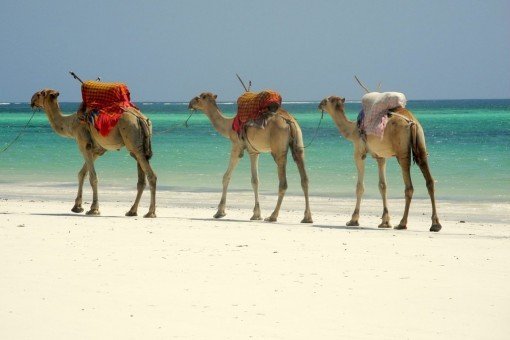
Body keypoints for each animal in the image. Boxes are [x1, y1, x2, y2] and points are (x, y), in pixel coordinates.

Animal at [30, 84, 156, 218]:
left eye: (40, 93)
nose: (32, 100)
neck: (72, 123)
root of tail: (141, 118)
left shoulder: (84, 145)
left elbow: (92, 177)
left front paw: (93, 209)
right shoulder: (96, 151)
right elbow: (82, 174)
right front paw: (77, 207)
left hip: (132, 135)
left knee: (151, 175)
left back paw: (150, 212)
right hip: (139, 145)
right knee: (141, 179)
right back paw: (132, 211)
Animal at [189, 91, 312, 223]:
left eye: (199, 98)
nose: (190, 103)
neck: (229, 126)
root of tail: (289, 121)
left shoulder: (237, 146)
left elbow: (227, 177)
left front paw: (220, 212)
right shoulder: (254, 152)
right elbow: (255, 180)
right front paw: (256, 214)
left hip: (278, 149)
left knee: (283, 182)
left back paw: (272, 216)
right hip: (299, 144)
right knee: (304, 178)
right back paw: (307, 217)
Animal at [318, 95, 442, 231]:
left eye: (326, 100)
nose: (319, 105)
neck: (353, 130)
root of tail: (412, 122)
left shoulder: (359, 154)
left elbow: (360, 187)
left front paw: (353, 220)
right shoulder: (380, 157)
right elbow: (383, 186)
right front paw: (385, 221)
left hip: (402, 151)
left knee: (409, 186)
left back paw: (402, 223)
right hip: (421, 142)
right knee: (429, 180)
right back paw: (435, 224)